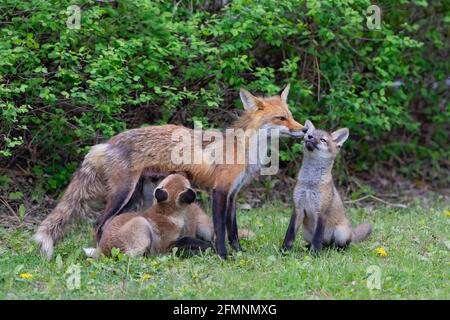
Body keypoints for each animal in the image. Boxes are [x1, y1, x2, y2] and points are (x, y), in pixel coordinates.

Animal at [33, 84, 304, 260]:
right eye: (281, 118)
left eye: (291, 116)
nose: (303, 130)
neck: (245, 148)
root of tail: (106, 143)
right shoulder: (219, 192)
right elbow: (220, 231)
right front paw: (223, 256)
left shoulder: (233, 194)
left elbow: (233, 230)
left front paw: (239, 253)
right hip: (123, 193)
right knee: (98, 224)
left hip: (136, 195)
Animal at [282, 120, 372, 252]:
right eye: (309, 134)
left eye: (322, 139)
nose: (309, 136)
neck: (310, 183)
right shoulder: (297, 208)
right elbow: (289, 235)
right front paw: (284, 251)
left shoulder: (321, 211)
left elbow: (317, 238)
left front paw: (316, 254)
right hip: (306, 233)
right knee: (322, 243)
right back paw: (310, 247)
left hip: (340, 233)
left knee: (340, 244)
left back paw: (335, 250)